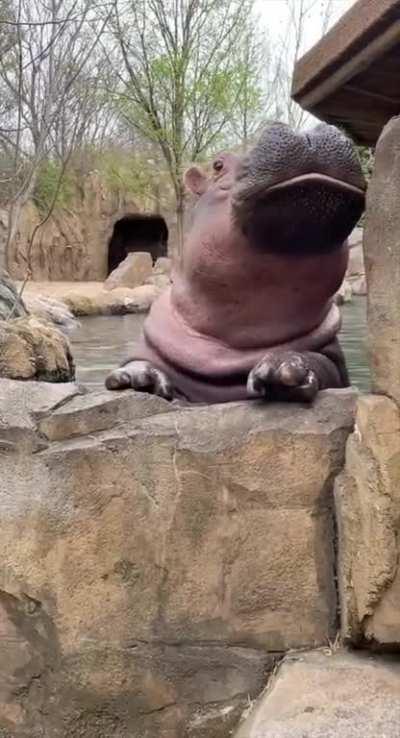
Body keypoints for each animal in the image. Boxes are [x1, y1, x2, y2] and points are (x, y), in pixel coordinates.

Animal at [105, 122, 366, 404]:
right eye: (218, 165)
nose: (305, 132)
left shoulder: (335, 362)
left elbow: (322, 362)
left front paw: (282, 366)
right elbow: (139, 361)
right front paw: (137, 376)